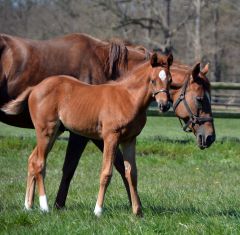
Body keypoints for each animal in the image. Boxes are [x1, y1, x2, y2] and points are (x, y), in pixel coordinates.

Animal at [2, 52, 173, 216]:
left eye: (170, 81)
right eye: (153, 80)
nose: (164, 106)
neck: (128, 98)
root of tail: (35, 87)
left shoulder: (129, 140)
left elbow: (132, 174)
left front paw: (138, 212)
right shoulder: (111, 137)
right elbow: (106, 173)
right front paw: (98, 210)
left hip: (55, 132)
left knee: (32, 160)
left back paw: (28, 206)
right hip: (46, 131)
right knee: (39, 163)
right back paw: (44, 207)